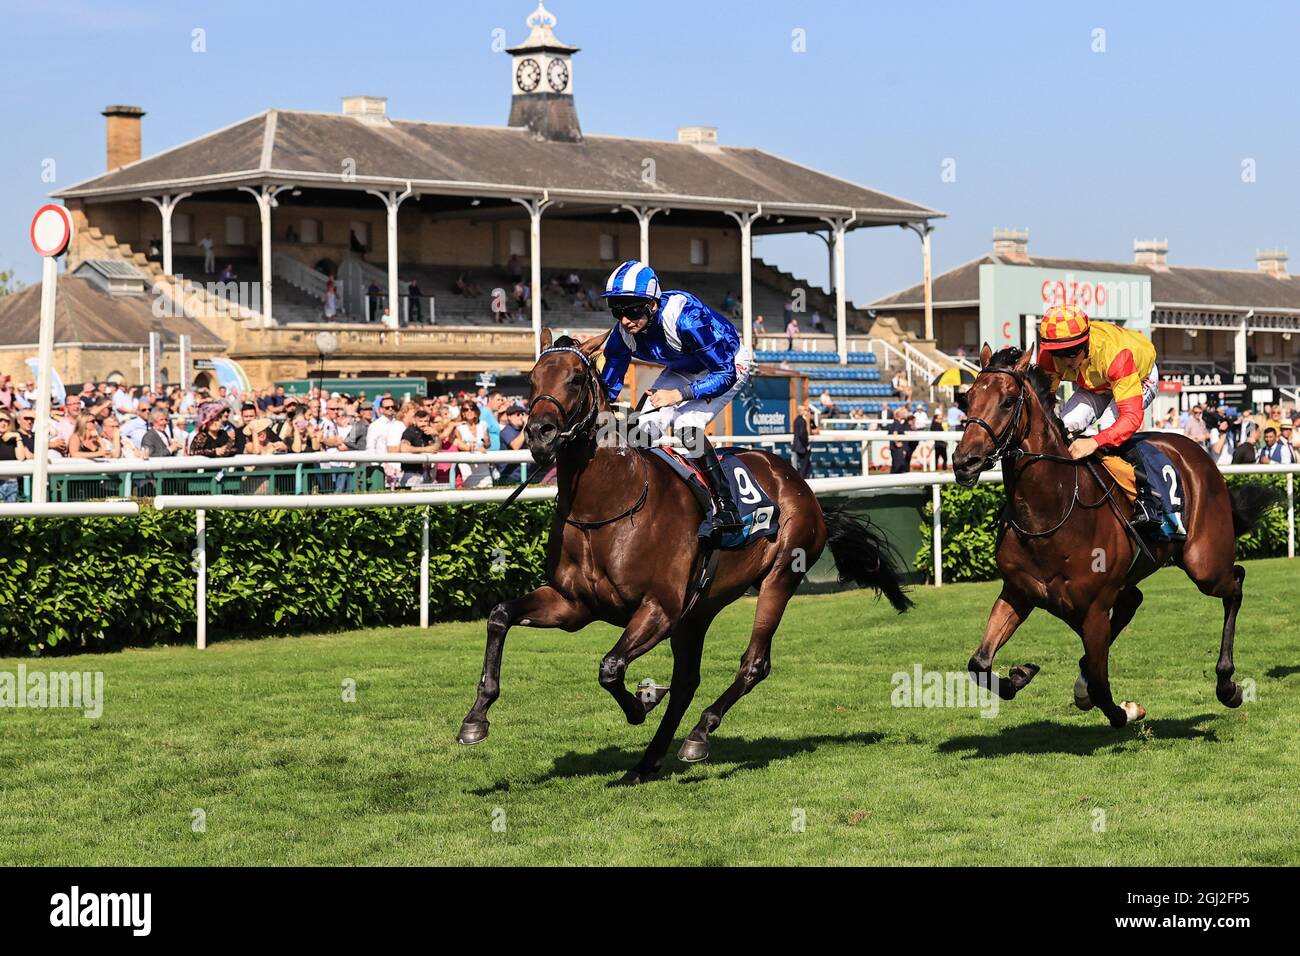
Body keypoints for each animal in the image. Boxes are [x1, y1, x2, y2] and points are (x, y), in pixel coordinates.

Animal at [457, 329, 915, 785]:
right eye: (531, 379)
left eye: (575, 378)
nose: (539, 434)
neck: (607, 504)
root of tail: (797, 481)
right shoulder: (573, 604)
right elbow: (500, 616)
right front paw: (475, 719)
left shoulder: (659, 609)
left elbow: (610, 667)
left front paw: (642, 702)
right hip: (699, 609)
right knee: (686, 682)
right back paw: (648, 761)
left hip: (780, 575)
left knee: (754, 663)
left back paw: (698, 734)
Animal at [951, 348, 1274, 728]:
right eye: (968, 398)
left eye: (1008, 401)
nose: (964, 462)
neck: (1051, 512)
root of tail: (1195, 450)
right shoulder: (1018, 592)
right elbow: (979, 663)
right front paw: (1020, 674)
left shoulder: (1093, 610)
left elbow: (1103, 689)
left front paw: (1128, 710)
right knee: (1133, 601)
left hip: (1204, 563)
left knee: (1235, 582)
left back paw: (1227, 685)